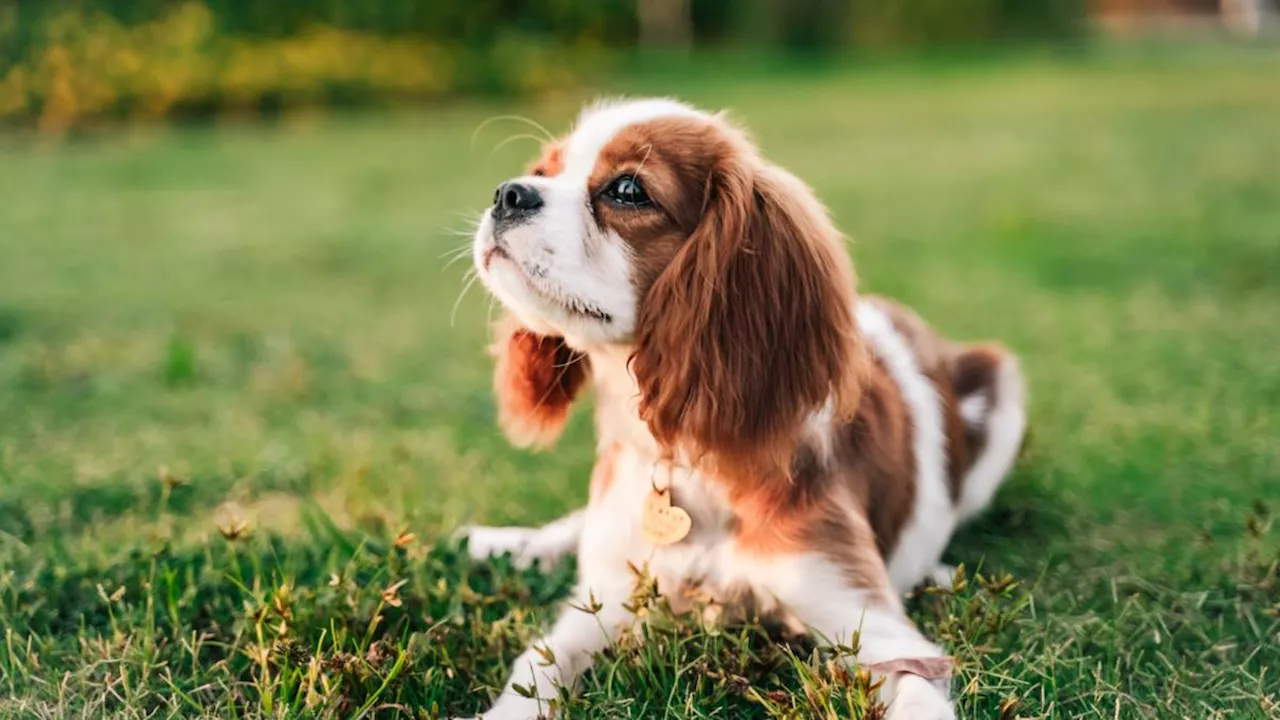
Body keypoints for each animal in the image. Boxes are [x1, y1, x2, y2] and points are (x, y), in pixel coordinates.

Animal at [460, 96, 1029, 717]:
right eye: (544, 171)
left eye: (628, 190)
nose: (509, 193)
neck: (686, 456)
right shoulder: (605, 600)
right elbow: (535, 665)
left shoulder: (876, 629)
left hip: (1003, 388)